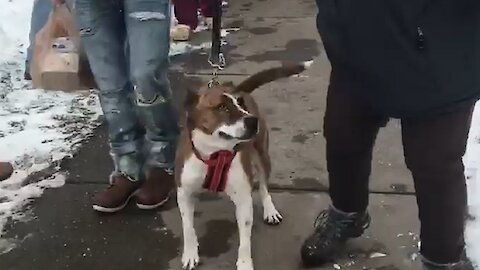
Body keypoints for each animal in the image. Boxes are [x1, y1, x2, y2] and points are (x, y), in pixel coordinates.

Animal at [174, 61, 314, 270]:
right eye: (221, 107)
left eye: (240, 104)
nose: (252, 120)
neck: (214, 153)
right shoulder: (184, 194)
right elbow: (188, 227)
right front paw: (190, 253)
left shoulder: (243, 199)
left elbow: (245, 240)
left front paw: (245, 263)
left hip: (262, 156)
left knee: (263, 185)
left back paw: (270, 210)